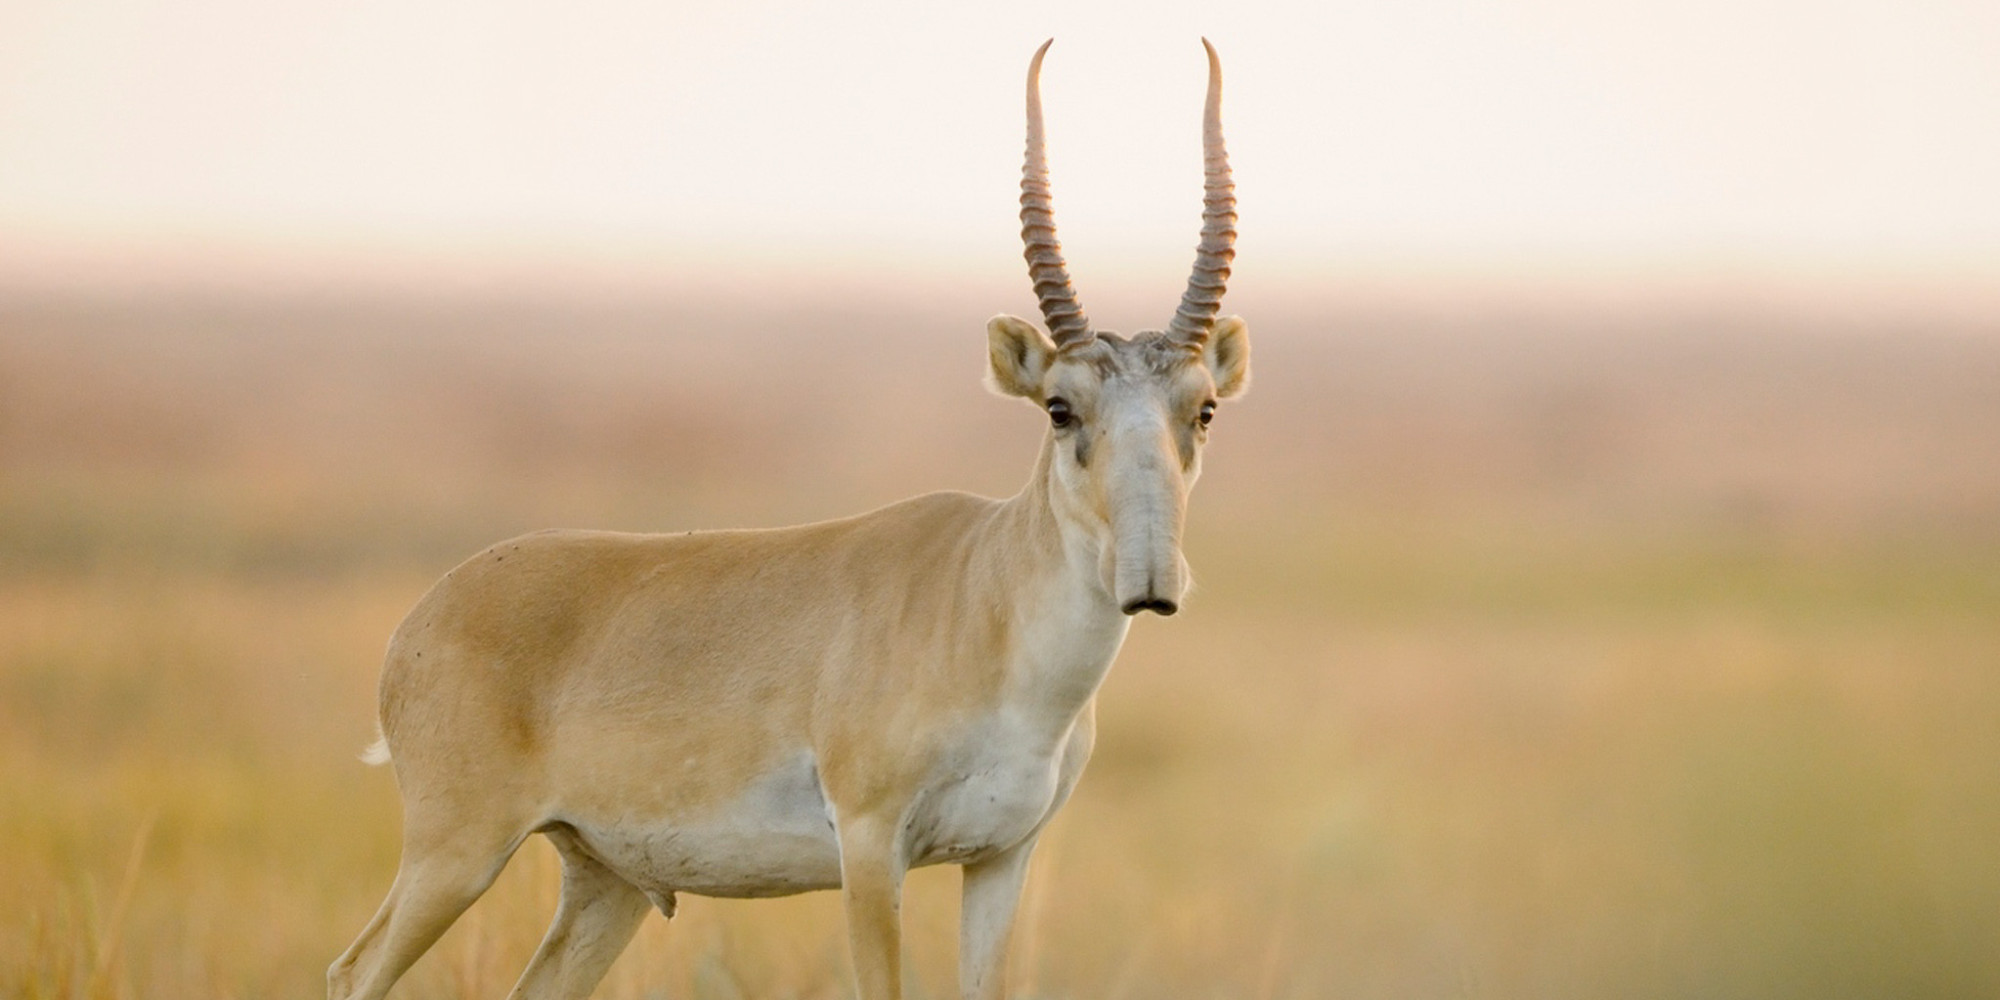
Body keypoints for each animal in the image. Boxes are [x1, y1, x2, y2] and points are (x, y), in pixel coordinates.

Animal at [336, 39, 1256, 1000]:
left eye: (1202, 409)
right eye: (1059, 407)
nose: (1150, 580)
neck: (986, 599)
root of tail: (421, 619)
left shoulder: (1001, 858)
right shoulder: (871, 847)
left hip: (604, 882)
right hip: (457, 854)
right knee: (352, 971)